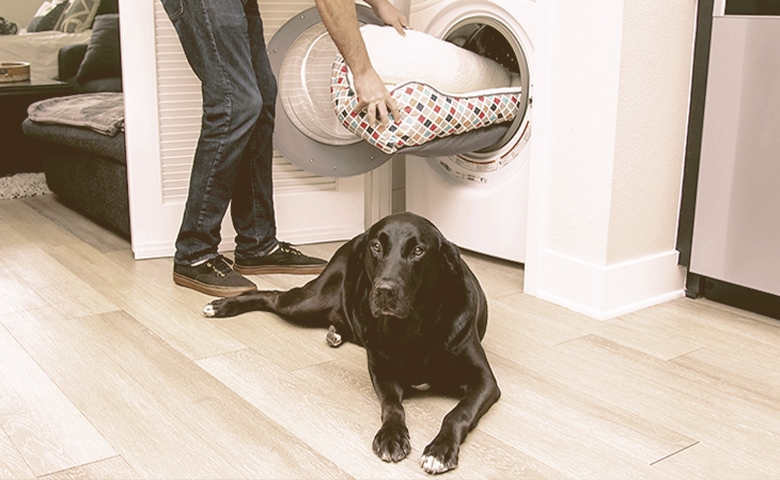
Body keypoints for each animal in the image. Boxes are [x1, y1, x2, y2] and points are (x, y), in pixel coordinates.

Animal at [204, 212, 500, 474]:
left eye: (418, 251)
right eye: (376, 247)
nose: (384, 291)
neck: (412, 327)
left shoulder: (484, 381)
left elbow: (457, 413)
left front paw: (439, 450)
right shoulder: (382, 372)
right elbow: (392, 407)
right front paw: (391, 436)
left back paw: (335, 332)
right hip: (308, 301)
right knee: (273, 296)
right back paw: (222, 306)